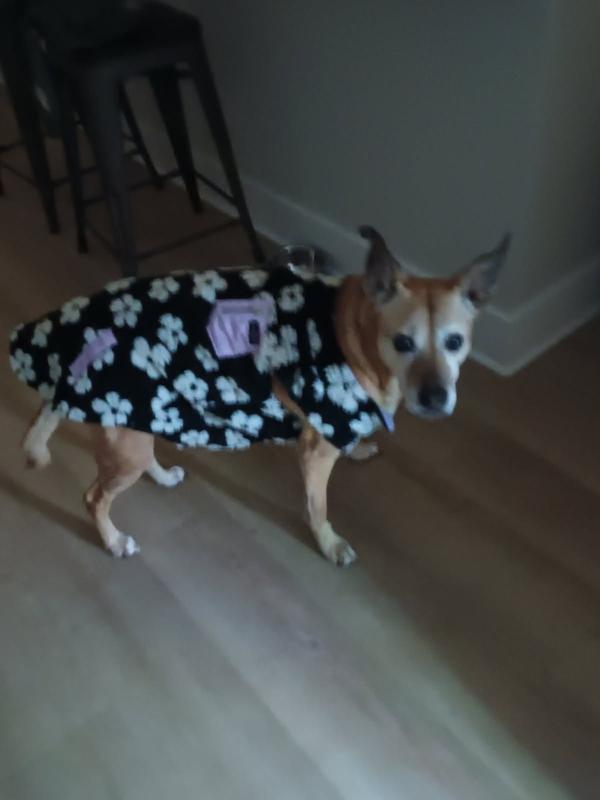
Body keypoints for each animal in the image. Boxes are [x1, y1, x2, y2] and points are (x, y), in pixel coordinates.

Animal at [10, 227, 509, 565]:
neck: (357, 333)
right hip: (126, 439)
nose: (436, 398)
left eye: (455, 343)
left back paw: (162, 477)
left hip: (141, 420)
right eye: (403, 342)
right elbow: (317, 505)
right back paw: (114, 541)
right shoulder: (316, 450)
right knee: (94, 497)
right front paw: (330, 544)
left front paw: (361, 447)